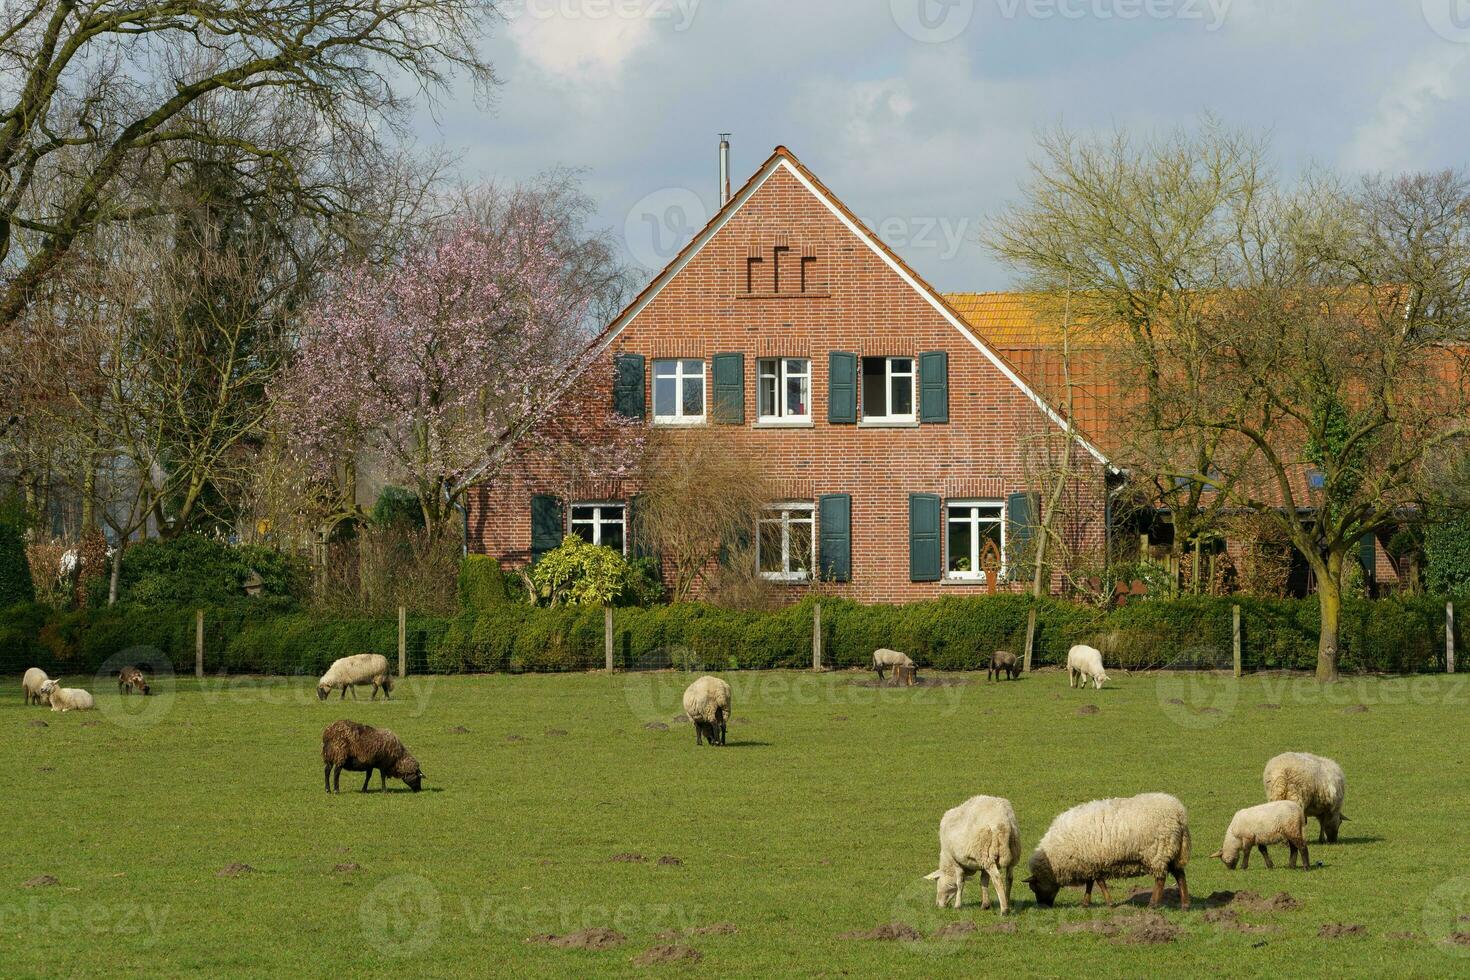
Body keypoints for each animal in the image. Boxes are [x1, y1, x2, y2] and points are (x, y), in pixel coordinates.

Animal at [1029, 787, 1187, 910]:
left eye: (1034, 887)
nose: (1043, 907)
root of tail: (1180, 813)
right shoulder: (1089, 862)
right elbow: (1091, 883)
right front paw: (1085, 903)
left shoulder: (1092, 861)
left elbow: (1099, 882)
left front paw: (1109, 903)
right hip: (1172, 851)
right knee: (1180, 875)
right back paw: (1185, 905)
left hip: (1158, 851)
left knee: (1160, 879)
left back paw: (1153, 905)